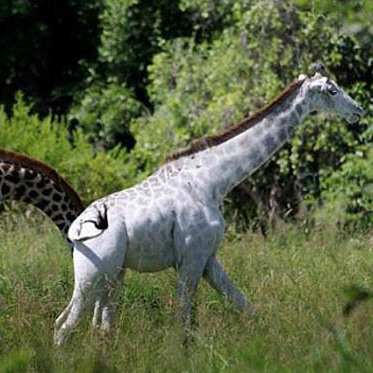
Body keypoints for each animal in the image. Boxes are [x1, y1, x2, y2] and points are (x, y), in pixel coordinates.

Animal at [54, 69, 364, 342]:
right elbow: (180, 321)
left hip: (113, 275)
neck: (213, 180)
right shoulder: (191, 257)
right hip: (93, 274)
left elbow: (246, 307)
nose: (358, 111)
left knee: (96, 326)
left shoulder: (208, 258)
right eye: (332, 90)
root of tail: (75, 230)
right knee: (65, 325)